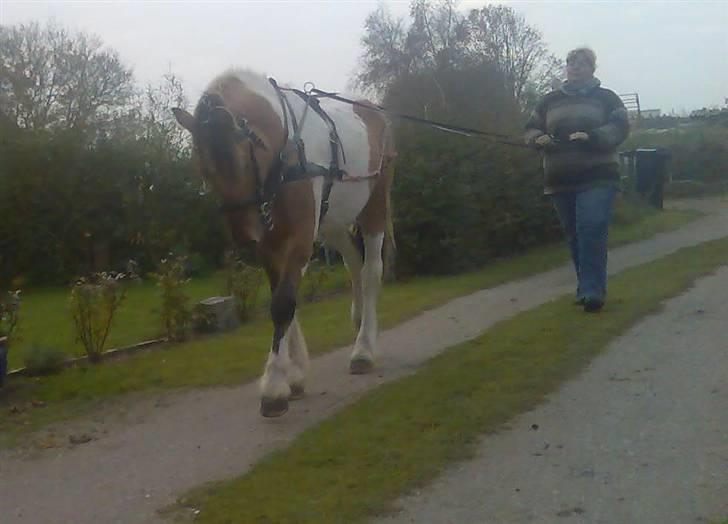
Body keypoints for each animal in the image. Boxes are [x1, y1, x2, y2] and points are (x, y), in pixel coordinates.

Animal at [173, 69, 396, 418]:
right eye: (203, 168)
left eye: (244, 159)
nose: (244, 236)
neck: (286, 151)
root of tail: (374, 110)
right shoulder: (270, 244)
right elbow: (283, 298)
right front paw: (296, 376)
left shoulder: (301, 238)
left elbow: (282, 303)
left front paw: (275, 386)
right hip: (332, 220)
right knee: (353, 263)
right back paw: (359, 321)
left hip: (374, 206)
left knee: (371, 271)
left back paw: (363, 349)